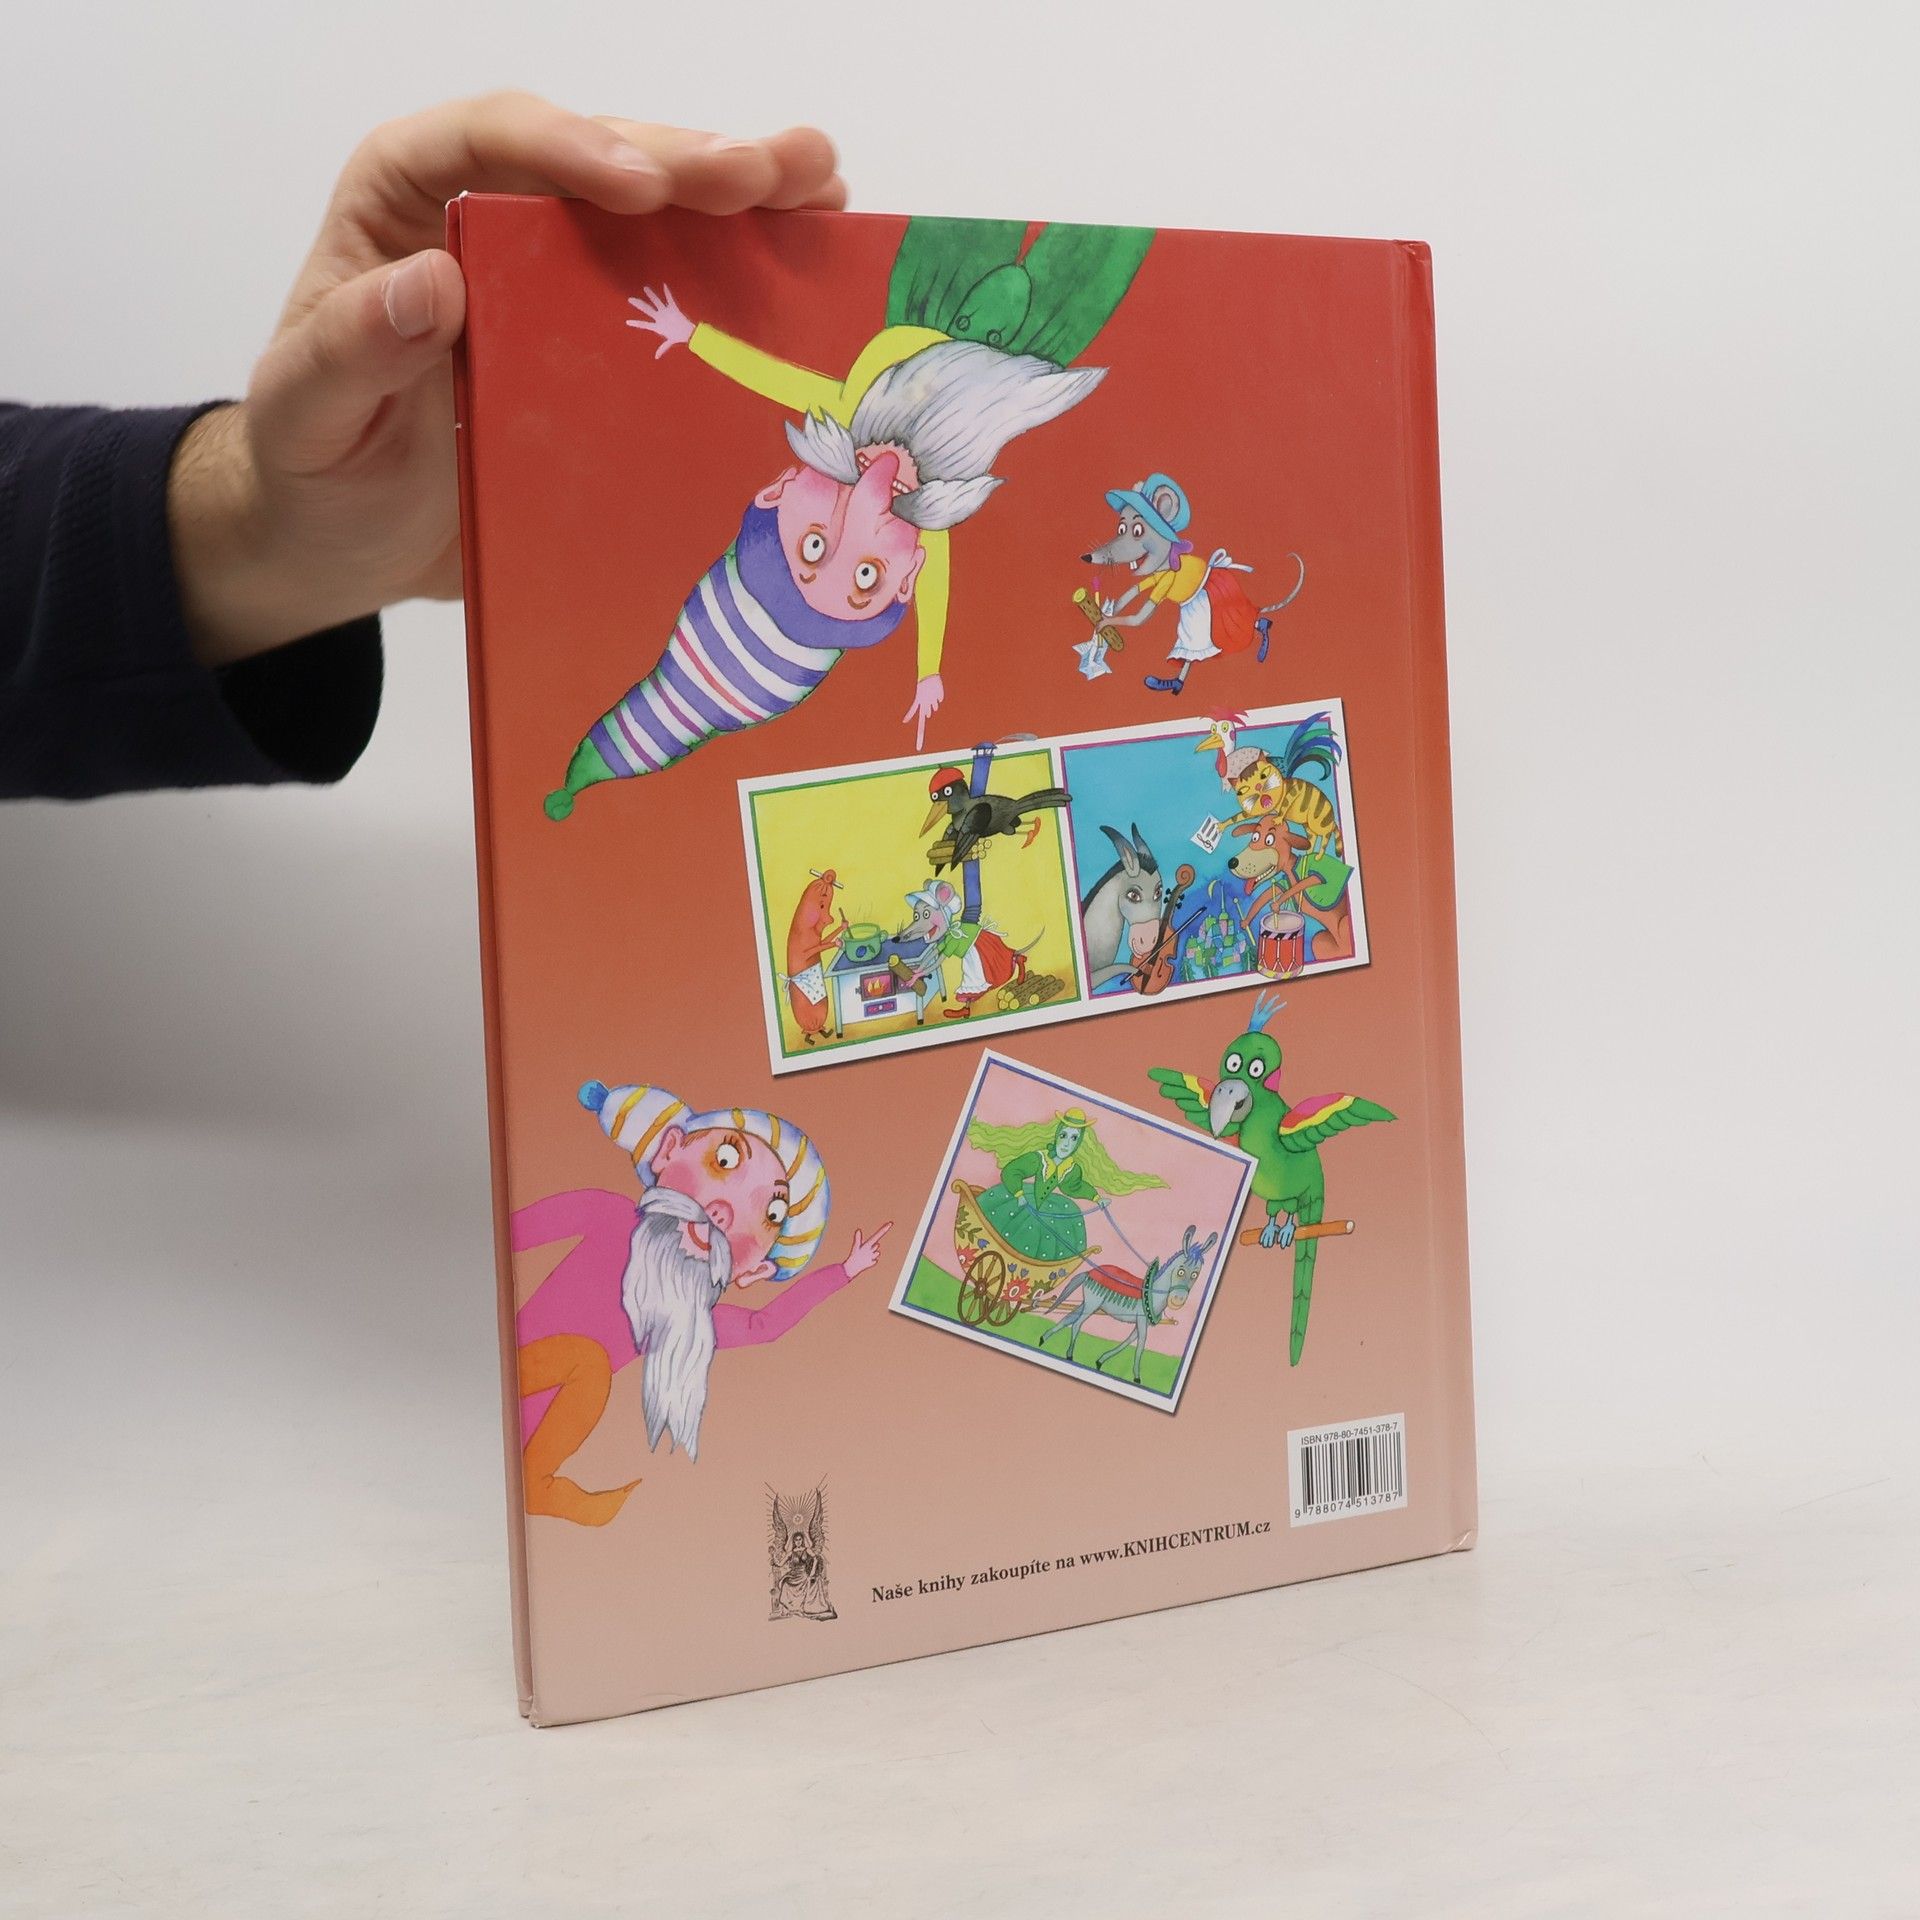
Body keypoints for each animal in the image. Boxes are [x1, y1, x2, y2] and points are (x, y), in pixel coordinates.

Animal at [1034, 1225, 1219, 1383]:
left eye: (1196, 1274)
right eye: (1180, 1271)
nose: (1178, 1301)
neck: (1152, 1294)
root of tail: (1090, 1271)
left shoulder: (1140, 1323)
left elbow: (1129, 1341)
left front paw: (1100, 1361)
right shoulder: (1142, 1320)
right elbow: (1141, 1345)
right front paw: (1137, 1377)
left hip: (1088, 1304)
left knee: (1069, 1318)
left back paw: (1044, 1339)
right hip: (1092, 1305)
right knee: (1077, 1323)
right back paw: (1069, 1355)